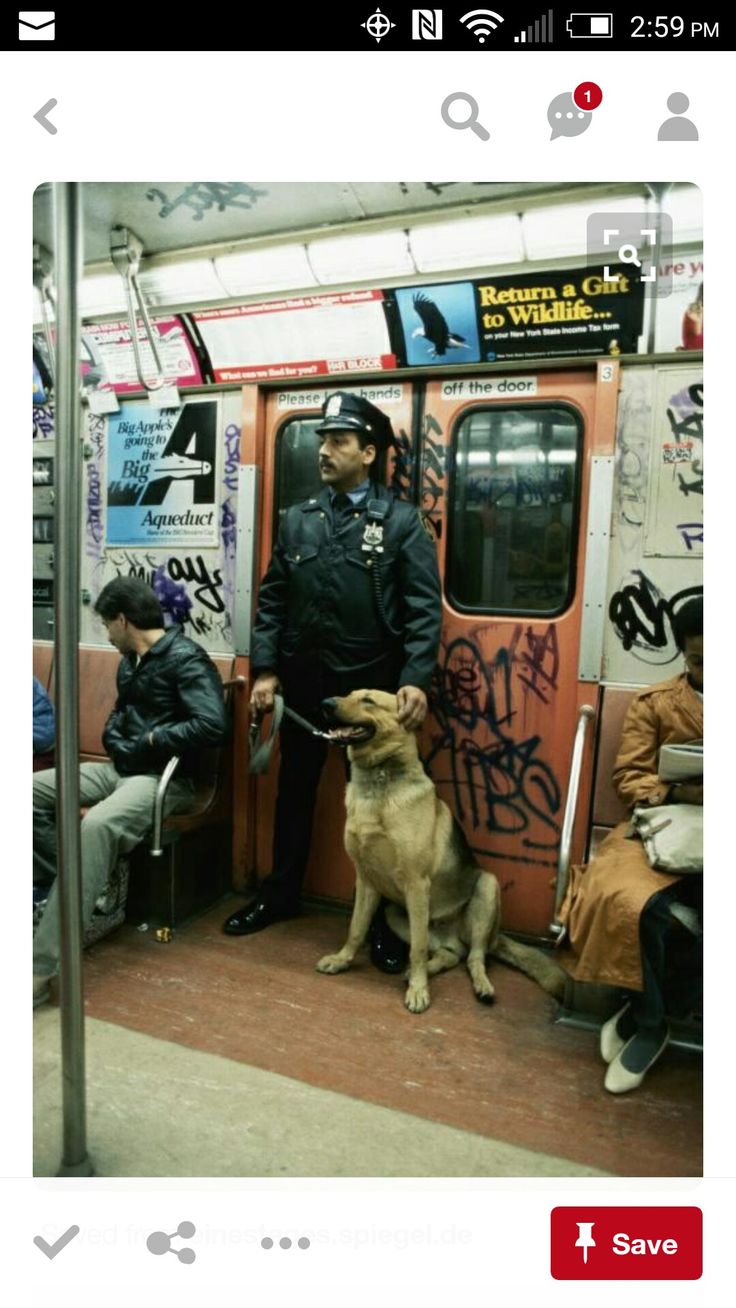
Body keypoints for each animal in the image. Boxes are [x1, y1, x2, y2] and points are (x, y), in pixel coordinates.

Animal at [315, 690, 564, 1015]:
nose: (326, 704)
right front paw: (342, 959)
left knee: (474, 958)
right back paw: (422, 970)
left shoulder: (416, 885)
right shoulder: (366, 881)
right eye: (348, 694)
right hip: (397, 914)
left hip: (486, 888)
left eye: (368, 700)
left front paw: (419, 991)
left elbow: (418, 948)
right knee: (451, 955)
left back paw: (480, 986)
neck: (379, 780)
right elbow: (356, 928)